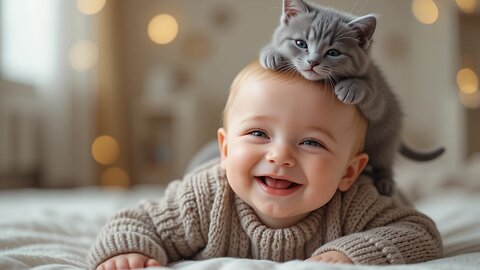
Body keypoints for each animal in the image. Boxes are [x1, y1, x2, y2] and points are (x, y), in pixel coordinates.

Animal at [260, 0, 444, 195]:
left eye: (333, 53)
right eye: (300, 43)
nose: (313, 62)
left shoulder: (379, 95)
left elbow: (371, 92)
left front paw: (351, 87)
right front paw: (272, 53)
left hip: (386, 138)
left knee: (385, 162)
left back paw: (385, 182)